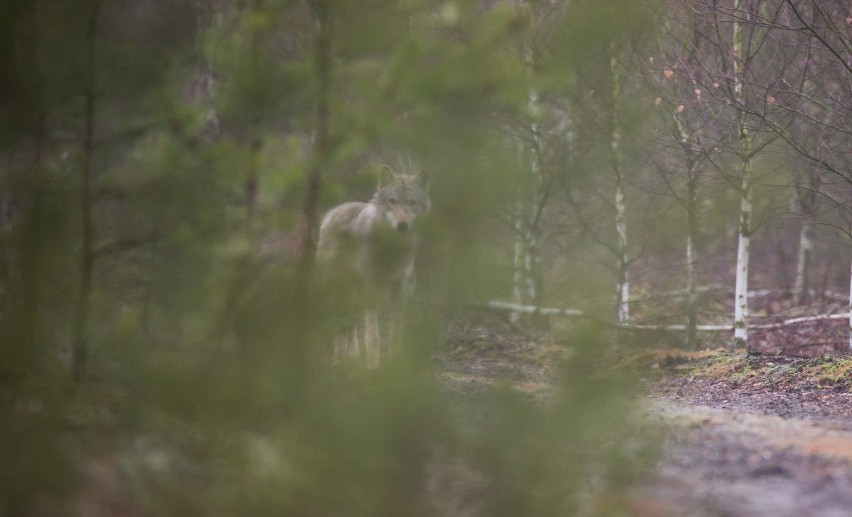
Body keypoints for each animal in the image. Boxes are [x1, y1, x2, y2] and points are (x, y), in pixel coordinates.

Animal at [316, 165, 430, 366]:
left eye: (412, 202)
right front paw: (373, 367)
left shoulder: (400, 290)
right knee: (338, 323)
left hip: (352, 292)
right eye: (392, 201)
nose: (402, 225)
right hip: (337, 289)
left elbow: (394, 333)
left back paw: (352, 357)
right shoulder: (370, 289)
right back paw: (339, 360)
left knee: (349, 324)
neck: (391, 251)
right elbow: (373, 336)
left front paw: (394, 363)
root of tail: (333, 211)